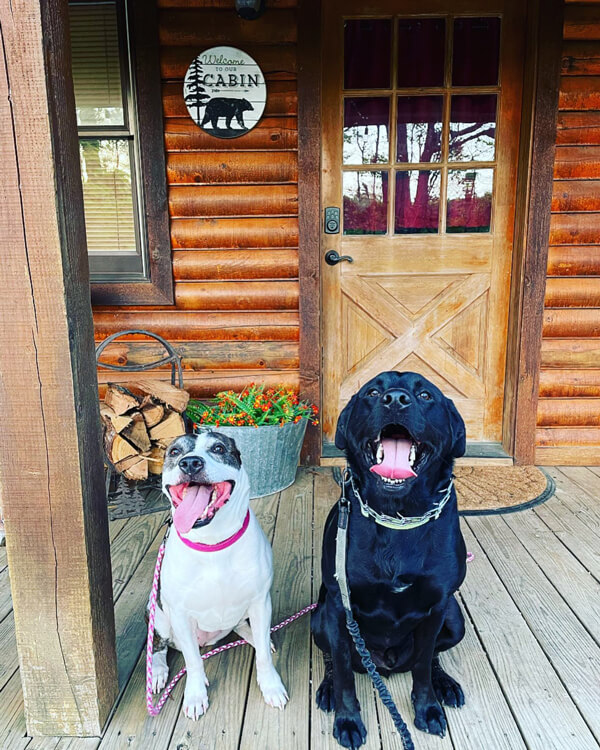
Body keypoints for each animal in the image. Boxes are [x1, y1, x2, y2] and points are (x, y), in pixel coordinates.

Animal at [149, 434, 288, 724]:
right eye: (175, 452)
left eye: (218, 448)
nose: (190, 463)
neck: (213, 543)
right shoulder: (180, 614)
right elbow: (193, 662)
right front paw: (195, 695)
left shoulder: (260, 602)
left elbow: (263, 659)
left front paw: (271, 686)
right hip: (158, 613)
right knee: (159, 645)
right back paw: (156, 671)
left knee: (243, 628)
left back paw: (256, 638)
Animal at [314, 374, 468, 748]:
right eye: (372, 391)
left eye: (425, 395)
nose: (395, 400)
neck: (398, 515)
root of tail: (386, 664)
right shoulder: (338, 606)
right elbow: (343, 670)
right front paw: (348, 720)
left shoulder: (438, 606)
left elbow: (424, 664)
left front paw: (428, 708)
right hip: (318, 617)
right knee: (330, 657)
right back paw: (326, 688)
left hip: (456, 619)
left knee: (431, 656)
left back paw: (445, 684)